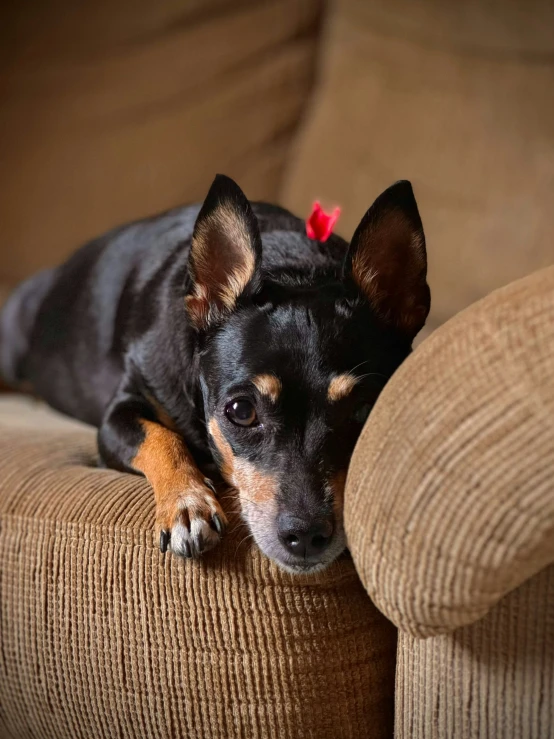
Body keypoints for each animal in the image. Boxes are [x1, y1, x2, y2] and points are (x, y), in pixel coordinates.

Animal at [0, 176, 430, 576]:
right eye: (241, 411)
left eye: (365, 411)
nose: (306, 536)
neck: (295, 269)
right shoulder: (119, 413)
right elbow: (162, 438)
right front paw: (186, 504)